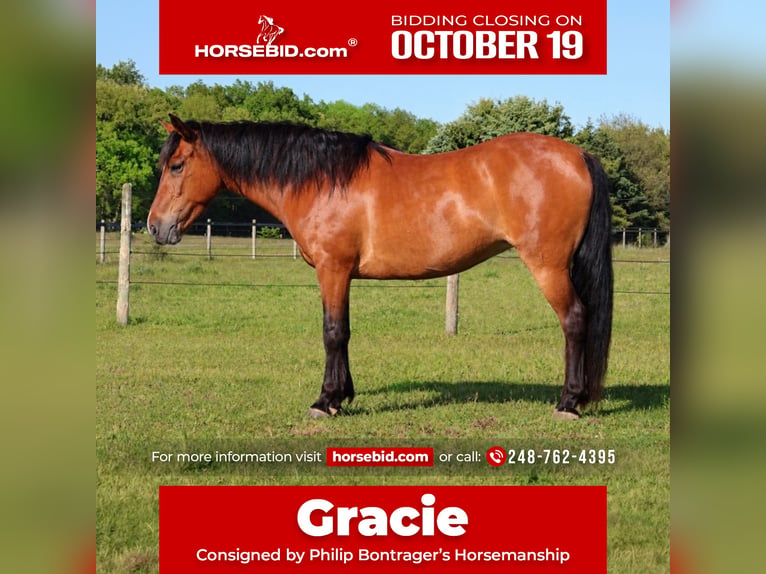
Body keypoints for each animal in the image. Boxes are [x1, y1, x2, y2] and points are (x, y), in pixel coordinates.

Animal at [148, 114, 613, 420]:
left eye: (177, 165)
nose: (155, 226)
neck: (321, 181)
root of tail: (578, 154)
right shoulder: (342, 275)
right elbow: (344, 332)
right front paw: (342, 395)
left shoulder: (332, 269)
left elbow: (333, 332)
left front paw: (325, 401)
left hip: (548, 266)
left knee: (575, 320)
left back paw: (568, 402)